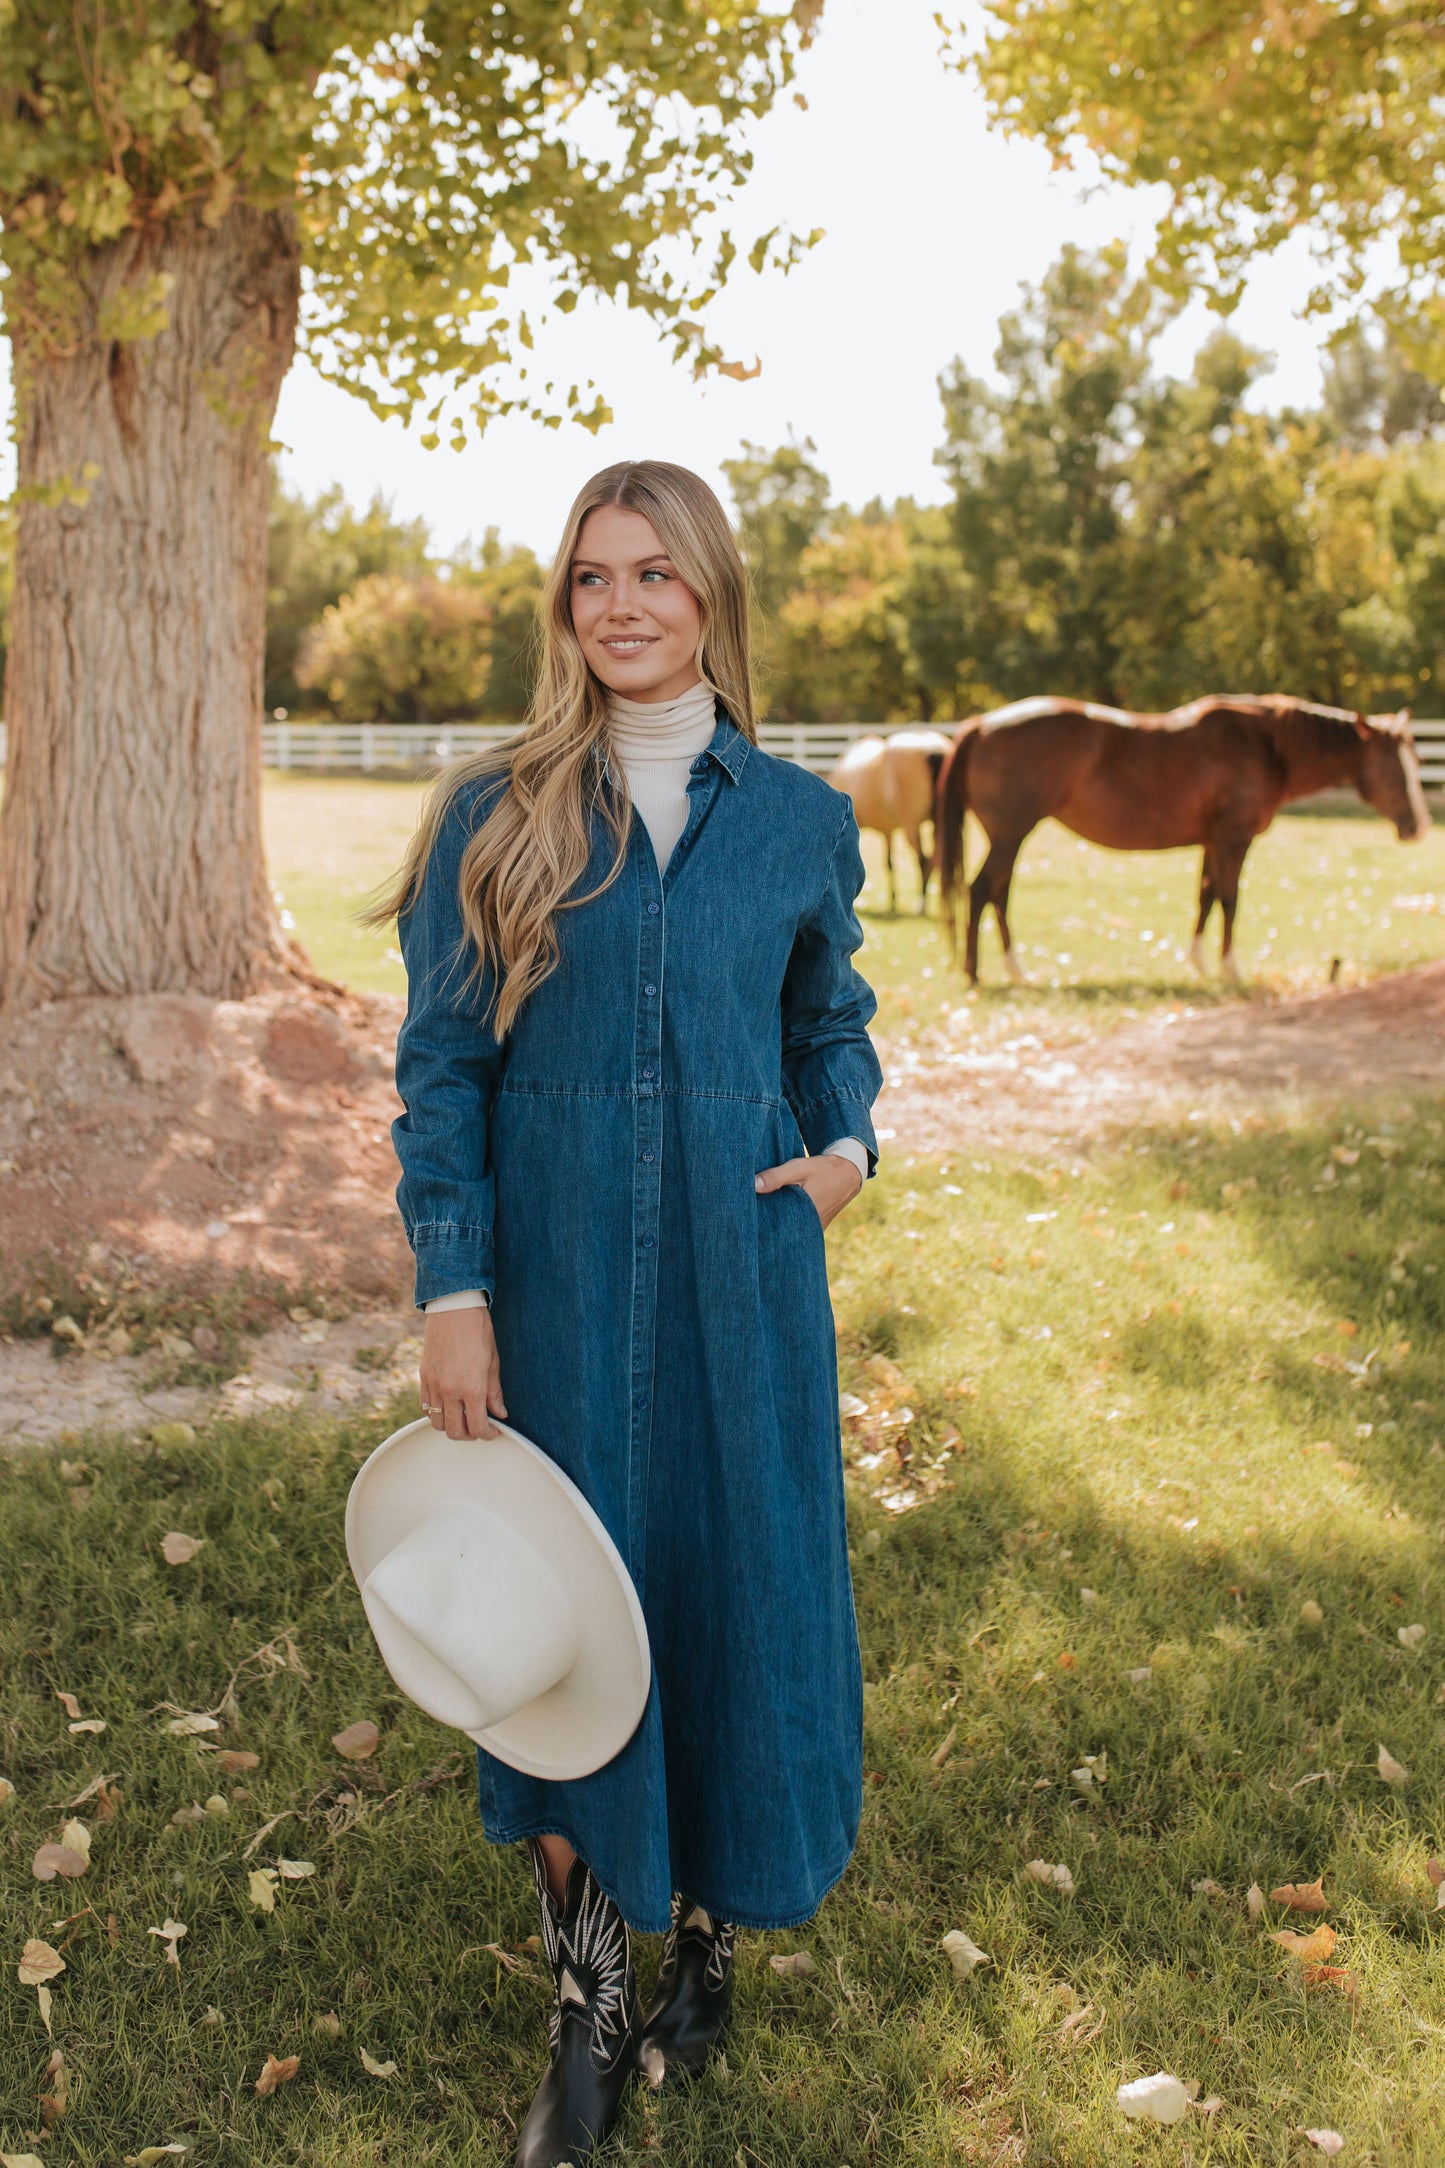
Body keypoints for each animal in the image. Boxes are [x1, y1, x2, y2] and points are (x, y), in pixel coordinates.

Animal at [823, 728, 961, 914]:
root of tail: (933, 749)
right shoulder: (887, 830)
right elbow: (889, 862)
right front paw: (893, 900)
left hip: (912, 825)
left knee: (923, 860)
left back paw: (922, 903)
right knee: (936, 858)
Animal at [931, 693, 1429, 984]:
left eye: (1415, 760)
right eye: (1392, 765)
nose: (1418, 826)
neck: (1266, 743)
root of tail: (981, 724)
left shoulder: (1211, 842)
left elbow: (1205, 896)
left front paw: (1199, 962)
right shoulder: (1234, 839)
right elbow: (1229, 899)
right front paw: (1230, 969)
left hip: (1011, 836)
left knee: (997, 893)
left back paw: (1014, 970)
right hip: (1011, 834)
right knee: (982, 890)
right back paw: (977, 974)